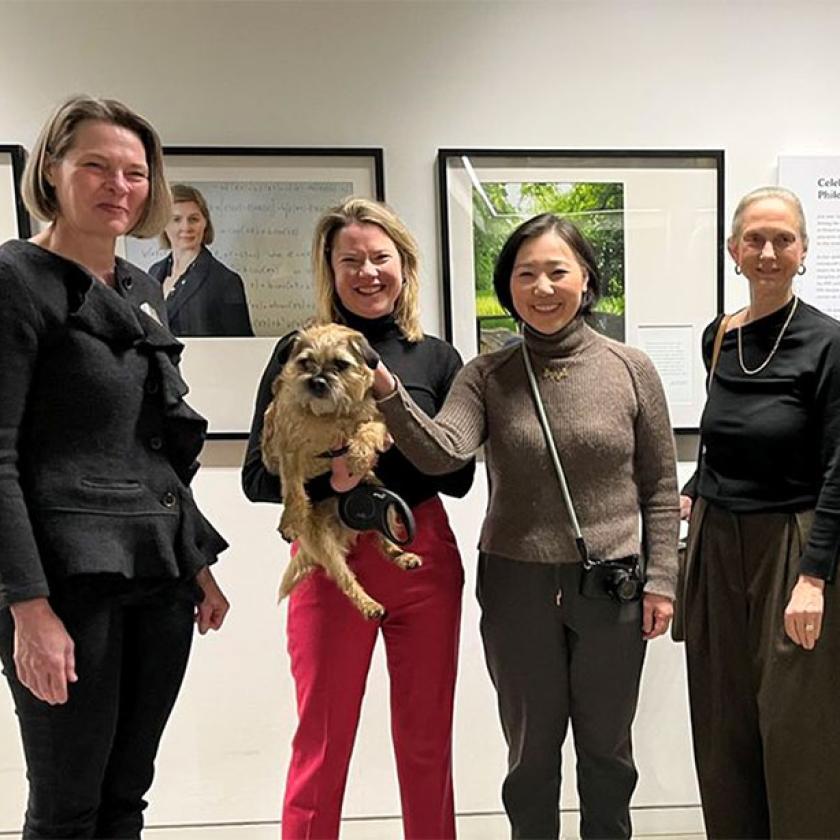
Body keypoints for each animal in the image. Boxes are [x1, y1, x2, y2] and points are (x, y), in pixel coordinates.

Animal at [260, 324, 420, 620]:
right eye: (306, 362)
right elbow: (294, 491)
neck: (328, 416)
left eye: (341, 364)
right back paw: (369, 604)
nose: (318, 382)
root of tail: (344, 529)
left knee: (383, 539)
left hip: (382, 495)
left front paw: (358, 455)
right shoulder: (288, 452)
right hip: (324, 544)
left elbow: (368, 430)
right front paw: (291, 520)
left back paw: (401, 555)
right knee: (344, 577)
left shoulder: (377, 419)